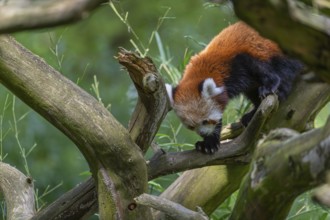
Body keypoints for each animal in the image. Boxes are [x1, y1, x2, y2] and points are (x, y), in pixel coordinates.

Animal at [166, 21, 302, 154]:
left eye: (205, 120)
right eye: (191, 126)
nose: (203, 133)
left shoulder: (239, 61)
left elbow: (264, 71)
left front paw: (269, 86)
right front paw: (209, 143)